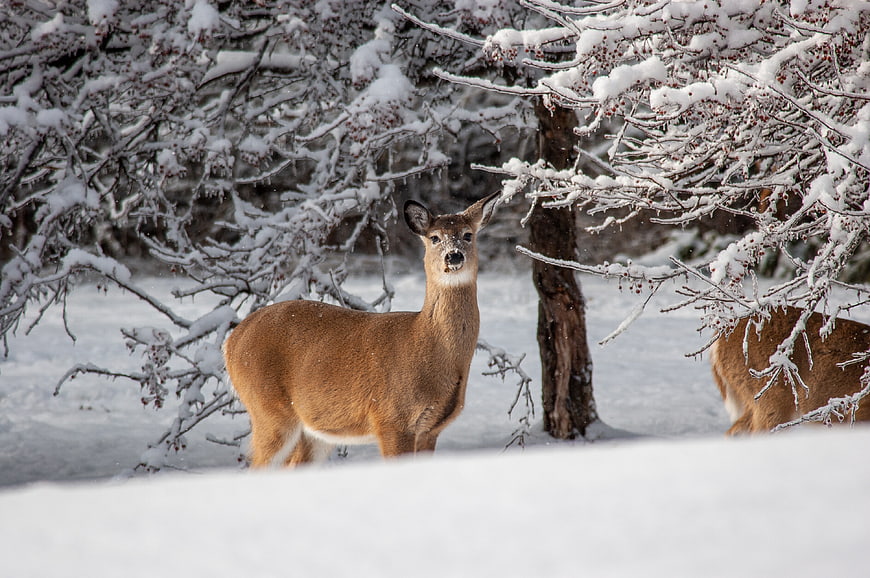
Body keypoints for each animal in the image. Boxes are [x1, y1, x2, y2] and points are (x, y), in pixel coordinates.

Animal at [223, 193, 500, 467]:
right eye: (435, 238)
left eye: (468, 235)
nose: (454, 256)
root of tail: (232, 341)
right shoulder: (391, 420)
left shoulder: (430, 430)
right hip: (269, 410)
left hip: (314, 430)